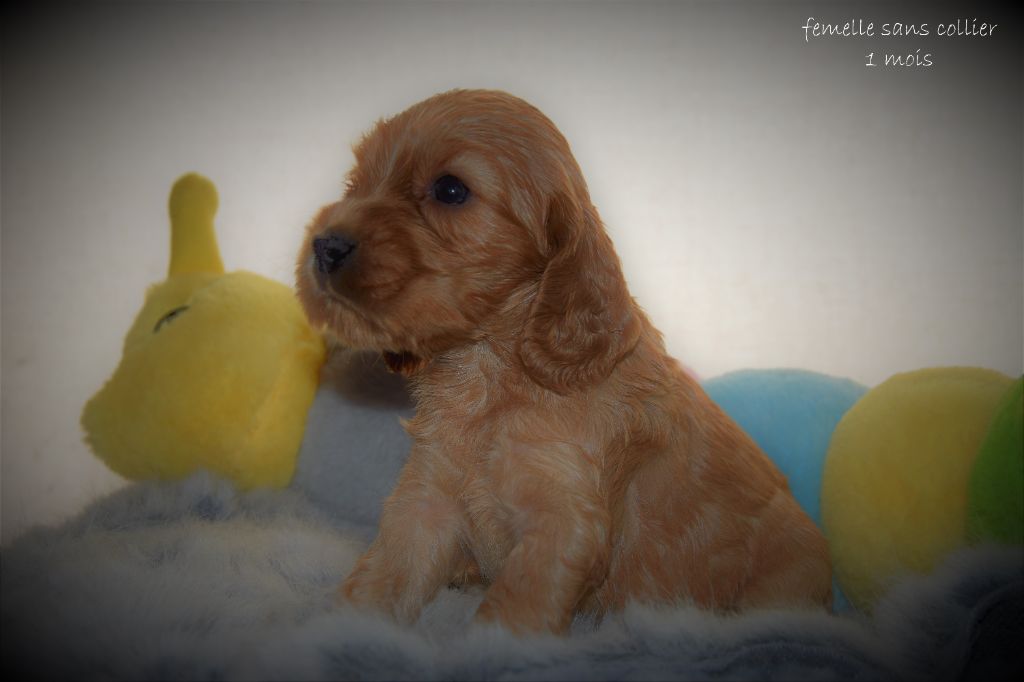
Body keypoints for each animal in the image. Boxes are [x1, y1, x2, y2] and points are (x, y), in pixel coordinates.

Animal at [296, 89, 832, 634]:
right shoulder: (427, 496)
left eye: (450, 190)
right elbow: (386, 575)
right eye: (354, 185)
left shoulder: (563, 521)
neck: (487, 368)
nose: (325, 245)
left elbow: (512, 611)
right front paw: (343, 631)